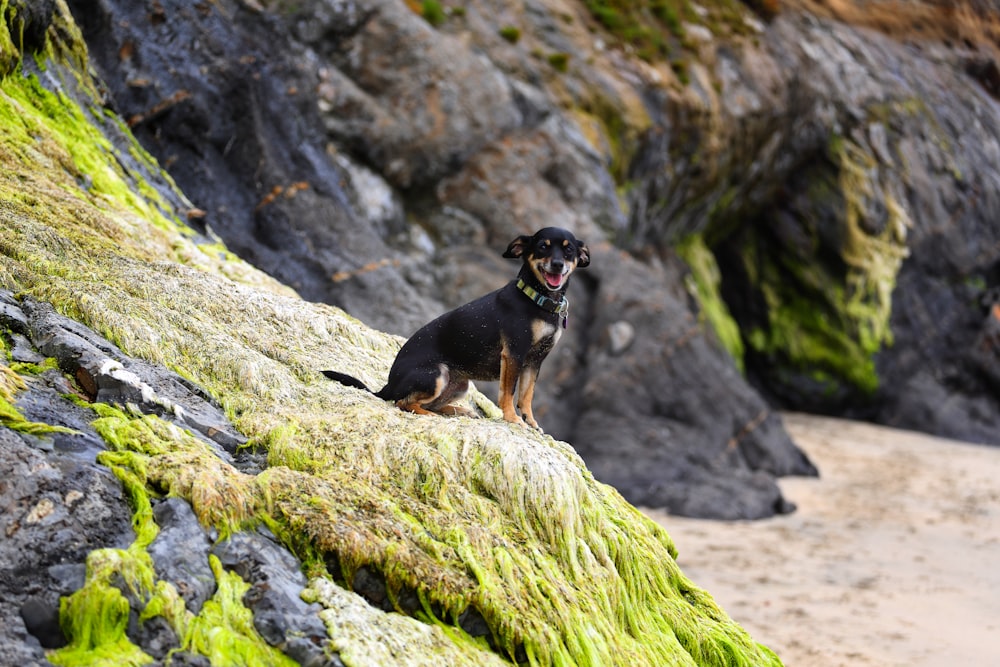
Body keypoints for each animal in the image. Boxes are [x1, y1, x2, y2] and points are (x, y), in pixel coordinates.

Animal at [320, 227, 588, 430]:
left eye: (569, 250)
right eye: (542, 247)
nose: (557, 264)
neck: (537, 299)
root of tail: (386, 386)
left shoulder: (535, 360)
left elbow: (526, 394)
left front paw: (530, 421)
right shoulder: (514, 354)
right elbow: (508, 393)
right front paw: (512, 419)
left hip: (460, 385)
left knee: (424, 402)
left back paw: (456, 410)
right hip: (436, 374)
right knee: (403, 403)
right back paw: (431, 414)